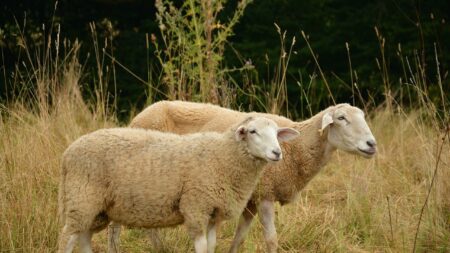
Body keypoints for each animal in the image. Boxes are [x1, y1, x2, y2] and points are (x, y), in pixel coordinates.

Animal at [58, 116, 300, 253]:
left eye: (277, 133)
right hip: (82, 197)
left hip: (96, 208)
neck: (223, 156)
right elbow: (202, 247)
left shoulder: (213, 212)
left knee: (83, 236)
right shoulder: (196, 207)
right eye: (253, 131)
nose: (277, 152)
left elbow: (212, 246)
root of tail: (68, 153)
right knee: (67, 238)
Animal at [108, 101, 376, 253]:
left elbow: (239, 237)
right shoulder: (265, 193)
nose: (372, 144)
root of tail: (140, 115)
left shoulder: (250, 199)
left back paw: (160, 248)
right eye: (341, 118)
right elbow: (271, 240)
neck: (297, 149)